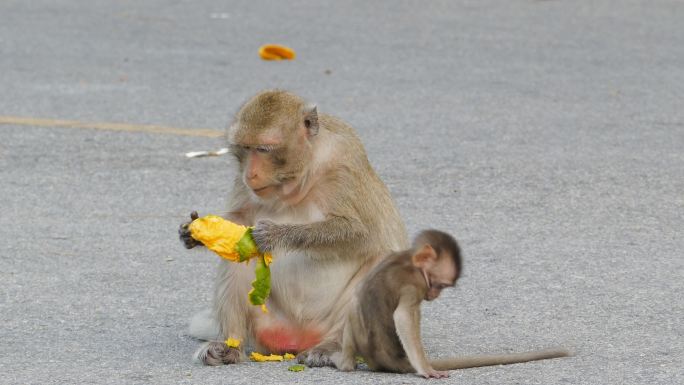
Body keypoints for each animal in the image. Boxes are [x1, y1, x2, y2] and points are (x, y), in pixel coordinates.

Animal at [179, 88, 408, 364]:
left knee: (379, 260)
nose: (250, 175)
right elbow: (240, 223)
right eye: (245, 148)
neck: (305, 171)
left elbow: (364, 234)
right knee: (236, 261)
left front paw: (274, 235)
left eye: (263, 149)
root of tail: (299, 340)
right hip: (266, 323)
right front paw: (195, 233)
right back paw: (229, 345)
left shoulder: (345, 161)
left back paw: (332, 347)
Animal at [334, 230, 568, 376]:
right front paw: (426, 370)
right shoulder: (415, 286)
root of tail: (387, 360)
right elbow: (403, 317)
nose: (436, 295)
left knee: (353, 306)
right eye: (440, 285)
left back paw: (345, 363)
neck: (410, 261)